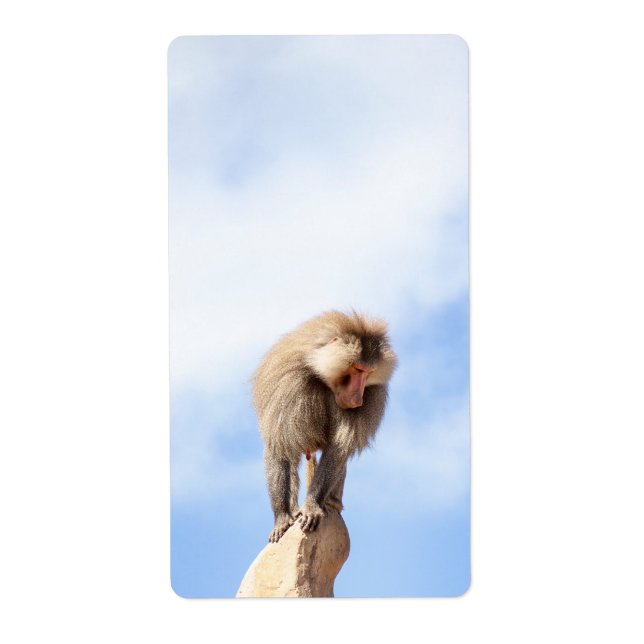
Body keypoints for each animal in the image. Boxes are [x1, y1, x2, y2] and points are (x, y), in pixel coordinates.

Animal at [252, 310, 397, 543]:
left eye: (368, 373)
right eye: (357, 369)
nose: (358, 400)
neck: (320, 373)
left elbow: (338, 450)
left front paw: (312, 506)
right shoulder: (288, 386)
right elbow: (279, 447)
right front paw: (281, 518)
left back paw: (331, 503)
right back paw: (294, 510)